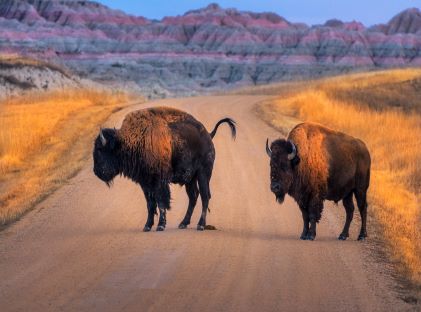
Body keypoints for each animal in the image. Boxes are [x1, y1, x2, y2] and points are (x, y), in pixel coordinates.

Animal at [92, 107, 236, 232]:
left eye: (99, 149)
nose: (96, 171)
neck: (132, 140)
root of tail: (208, 135)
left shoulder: (159, 182)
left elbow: (161, 202)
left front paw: (160, 226)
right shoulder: (145, 183)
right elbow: (150, 204)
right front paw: (147, 226)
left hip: (203, 174)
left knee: (205, 196)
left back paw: (200, 225)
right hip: (190, 179)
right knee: (193, 196)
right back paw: (183, 223)